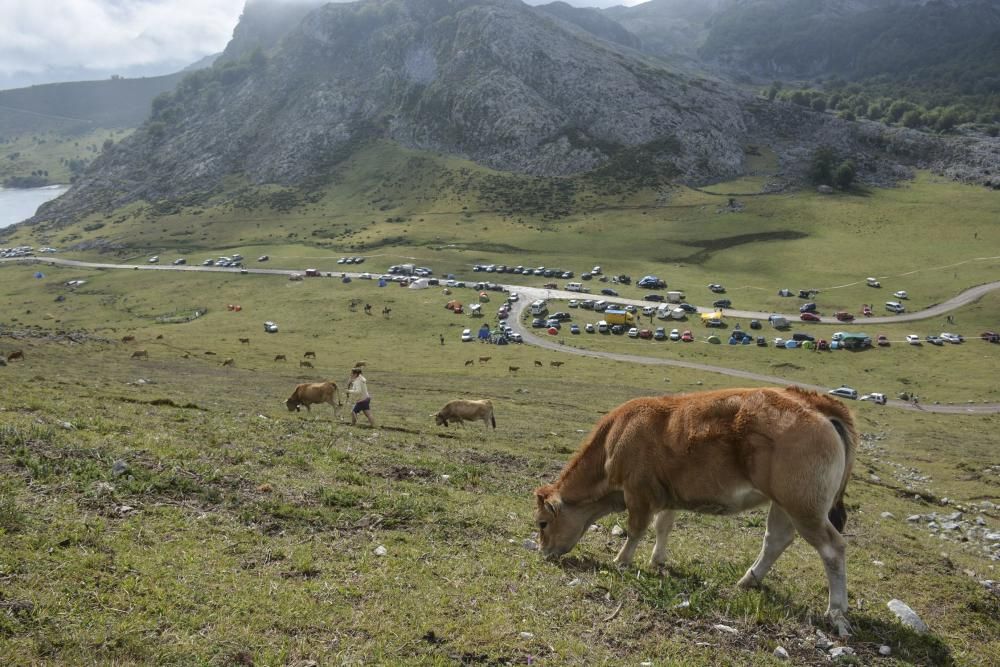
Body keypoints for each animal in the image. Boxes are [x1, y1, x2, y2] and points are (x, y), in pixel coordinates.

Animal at [536, 388, 856, 640]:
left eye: (542, 523)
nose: (543, 553)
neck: (617, 435)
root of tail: (812, 401)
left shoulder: (638, 492)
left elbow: (636, 528)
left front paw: (621, 560)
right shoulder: (667, 495)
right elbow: (663, 526)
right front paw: (657, 560)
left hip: (805, 508)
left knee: (832, 548)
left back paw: (836, 611)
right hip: (785, 505)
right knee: (775, 540)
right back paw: (748, 580)